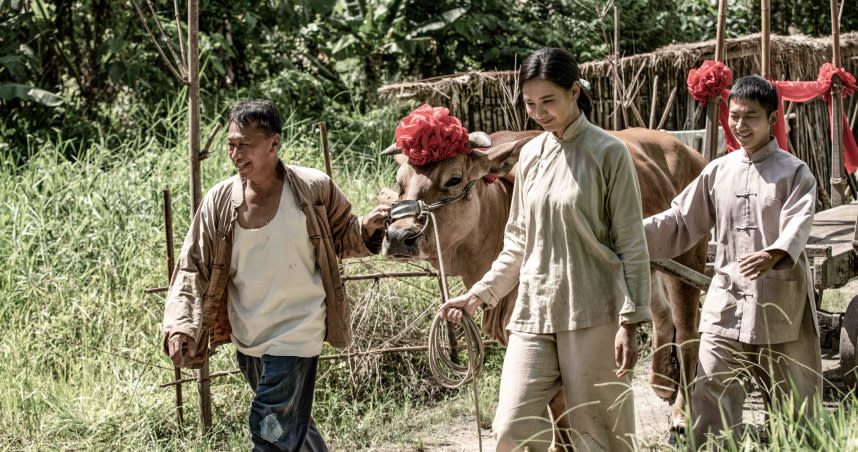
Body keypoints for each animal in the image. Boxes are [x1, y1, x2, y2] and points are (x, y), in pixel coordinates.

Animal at [378, 127, 704, 434]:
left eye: (454, 179)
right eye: (400, 183)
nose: (398, 236)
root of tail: (689, 152)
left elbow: (561, 402)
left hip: (689, 258)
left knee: (688, 334)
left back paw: (681, 415)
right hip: (647, 266)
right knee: (660, 314)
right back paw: (661, 383)